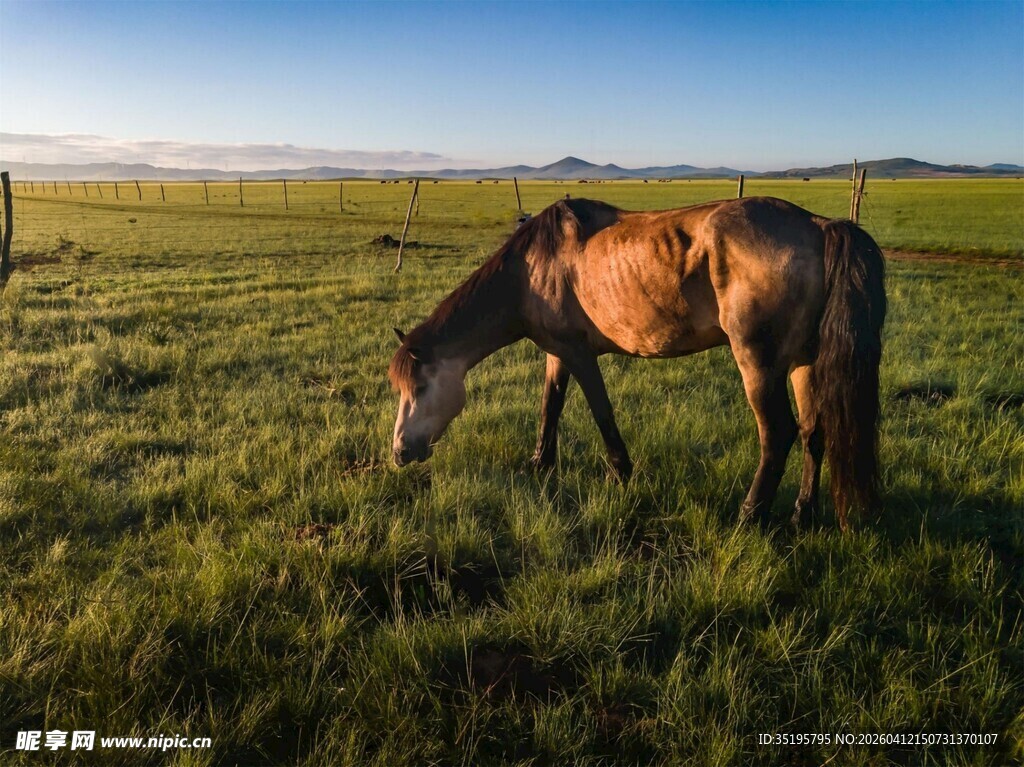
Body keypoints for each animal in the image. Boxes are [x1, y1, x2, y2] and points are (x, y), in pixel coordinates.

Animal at [389, 197, 886, 530]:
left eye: (419, 388)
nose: (398, 453)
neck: (530, 268)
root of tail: (819, 226)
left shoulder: (578, 353)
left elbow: (600, 411)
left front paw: (620, 472)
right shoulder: (557, 352)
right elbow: (550, 407)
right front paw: (540, 464)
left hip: (759, 364)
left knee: (778, 434)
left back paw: (749, 515)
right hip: (803, 361)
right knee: (813, 433)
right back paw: (803, 513)